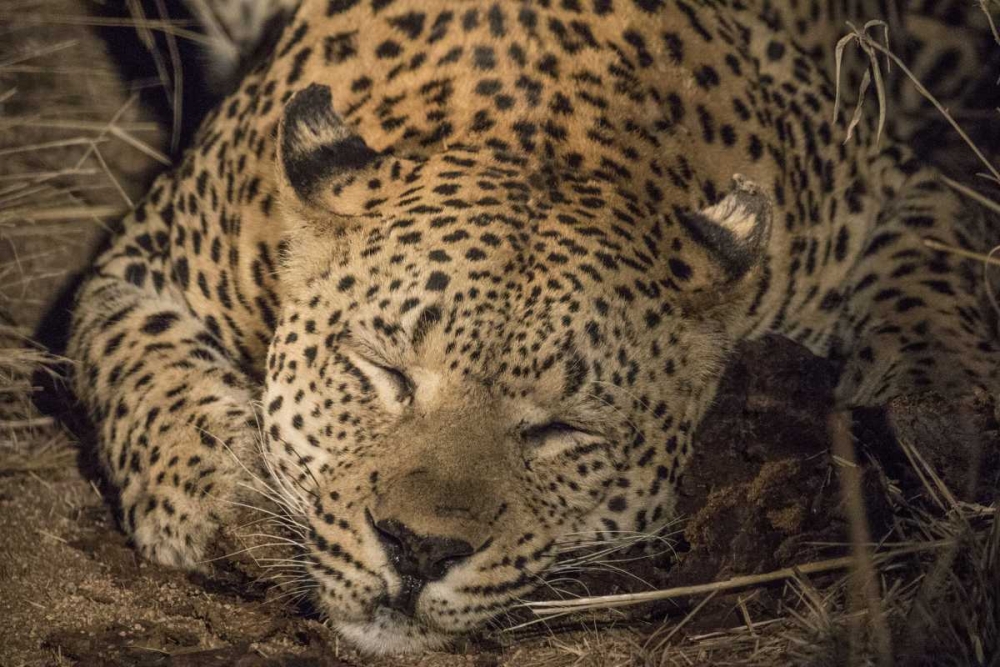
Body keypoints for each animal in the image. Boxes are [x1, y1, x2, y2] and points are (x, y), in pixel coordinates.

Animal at [66, 0, 1000, 654]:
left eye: (559, 430)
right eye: (383, 372)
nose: (418, 550)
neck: (548, 132)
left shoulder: (895, 190)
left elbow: (936, 294)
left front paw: (943, 424)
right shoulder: (142, 270)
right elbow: (149, 385)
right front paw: (230, 508)